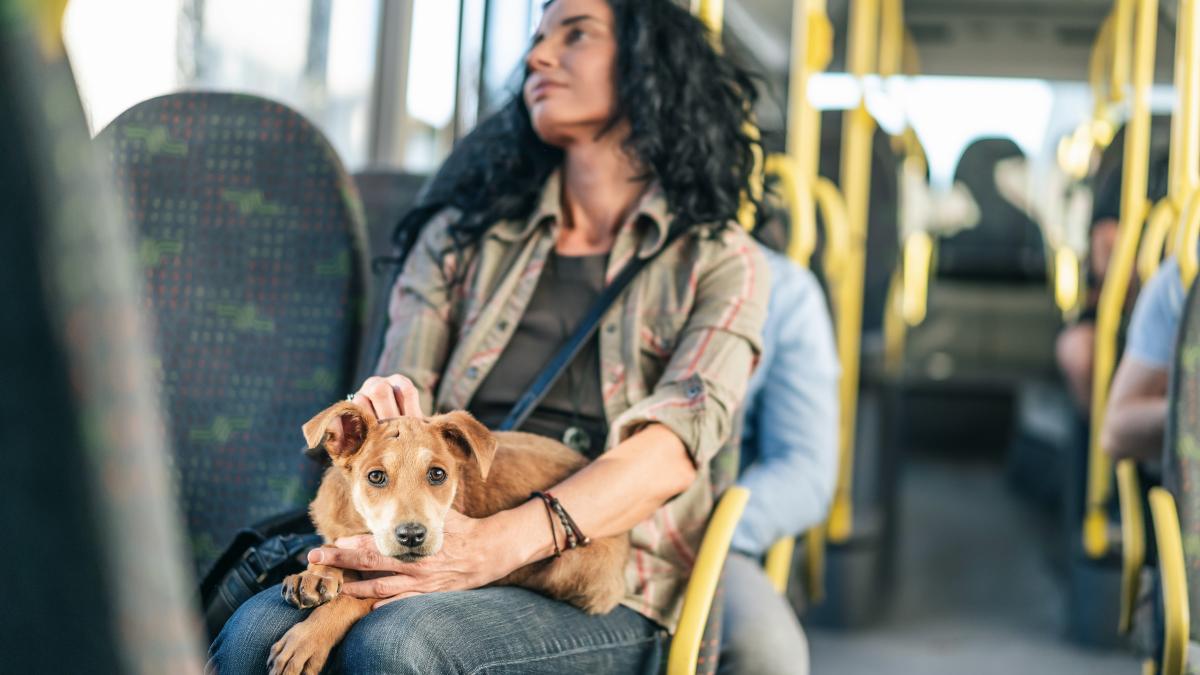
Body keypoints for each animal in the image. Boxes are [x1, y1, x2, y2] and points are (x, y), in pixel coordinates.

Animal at [266, 401, 628, 667]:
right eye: (376, 476)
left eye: (438, 474)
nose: (412, 536)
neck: (361, 525)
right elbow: (331, 551)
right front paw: (316, 574)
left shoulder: (403, 579)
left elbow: (353, 597)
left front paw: (306, 640)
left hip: (574, 569)